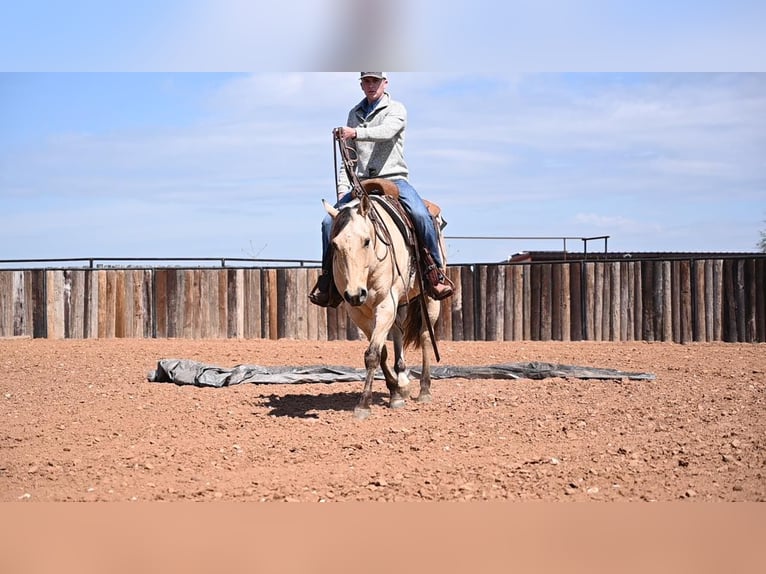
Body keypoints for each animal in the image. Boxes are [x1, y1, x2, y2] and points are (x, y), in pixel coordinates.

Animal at [322, 181, 444, 424]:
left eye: (366, 241)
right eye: (335, 244)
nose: (355, 294)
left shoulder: (385, 303)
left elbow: (372, 354)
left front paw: (363, 405)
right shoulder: (358, 312)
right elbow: (381, 352)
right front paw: (395, 392)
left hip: (429, 298)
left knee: (426, 336)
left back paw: (424, 389)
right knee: (398, 331)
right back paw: (403, 380)